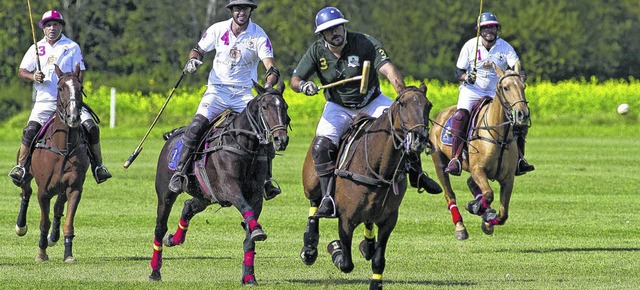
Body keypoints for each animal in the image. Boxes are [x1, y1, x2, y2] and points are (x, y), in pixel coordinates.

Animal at [13, 64, 89, 262]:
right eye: (60, 88)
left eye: (80, 88)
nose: (73, 117)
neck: (63, 147)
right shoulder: (43, 191)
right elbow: (44, 222)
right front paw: (41, 252)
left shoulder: (74, 188)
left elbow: (67, 221)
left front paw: (68, 254)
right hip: (26, 175)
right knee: (26, 192)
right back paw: (21, 226)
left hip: (61, 188)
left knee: (57, 208)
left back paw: (53, 238)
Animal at [148, 82, 290, 286]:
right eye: (264, 107)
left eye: (285, 107)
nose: (281, 140)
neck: (244, 145)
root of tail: (172, 136)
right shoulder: (230, 188)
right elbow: (245, 209)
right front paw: (258, 231)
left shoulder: (256, 195)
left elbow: (249, 237)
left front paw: (249, 276)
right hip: (165, 194)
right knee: (160, 227)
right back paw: (155, 271)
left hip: (204, 195)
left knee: (189, 206)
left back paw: (174, 239)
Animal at [302, 84, 432, 290]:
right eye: (402, 104)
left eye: (429, 106)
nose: (419, 138)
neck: (378, 168)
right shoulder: (346, 220)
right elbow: (346, 263)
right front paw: (335, 248)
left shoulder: (389, 219)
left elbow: (379, 260)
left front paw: (375, 280)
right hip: (312, 182)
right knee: (315, 202)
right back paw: (309, 246)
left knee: (369, 222)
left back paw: (368, 245)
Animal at [430, 62, 528, 240]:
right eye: (505, 87)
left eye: (523, 86)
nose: (522, 114)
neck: (499, 137)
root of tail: (442, 113)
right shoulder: (477, 169)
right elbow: (488, 194)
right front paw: (475, 207)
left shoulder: (508, 179)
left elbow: (503, 214)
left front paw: (488, 221)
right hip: (439, 162)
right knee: (450, 194)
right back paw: (460, 227)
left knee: (470, 183)